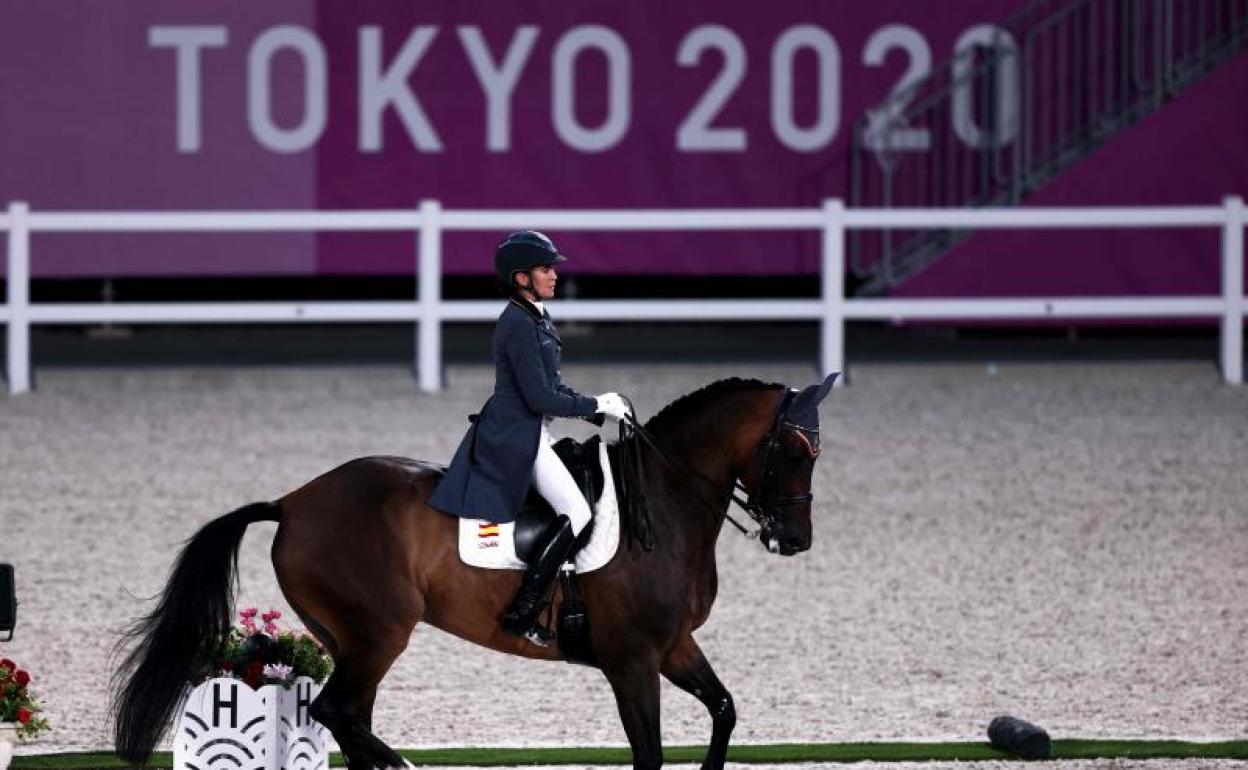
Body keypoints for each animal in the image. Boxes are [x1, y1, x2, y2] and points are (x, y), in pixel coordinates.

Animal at [112, 371, 838, 768]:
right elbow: (650, 753)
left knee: (349, 718)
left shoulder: (673, 646)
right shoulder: (631, 659)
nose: (794, 540)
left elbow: (724, 710)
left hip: (348, 639)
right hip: (379, 633)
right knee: (340, 712)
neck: (661, 503)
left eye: (817, 453)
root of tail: (293, 501)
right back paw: (405, 767)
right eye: (793, 451)